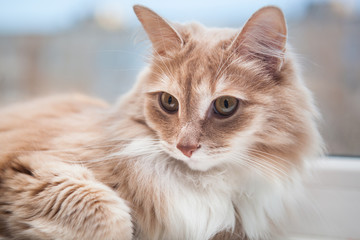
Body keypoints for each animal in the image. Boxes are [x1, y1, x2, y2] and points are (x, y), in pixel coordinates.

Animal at [0, 4, 322, 240]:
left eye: (225, 105)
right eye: (169, 102)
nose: (185, 147)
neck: (201, 184)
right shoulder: (33, 168)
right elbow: (109, 217)